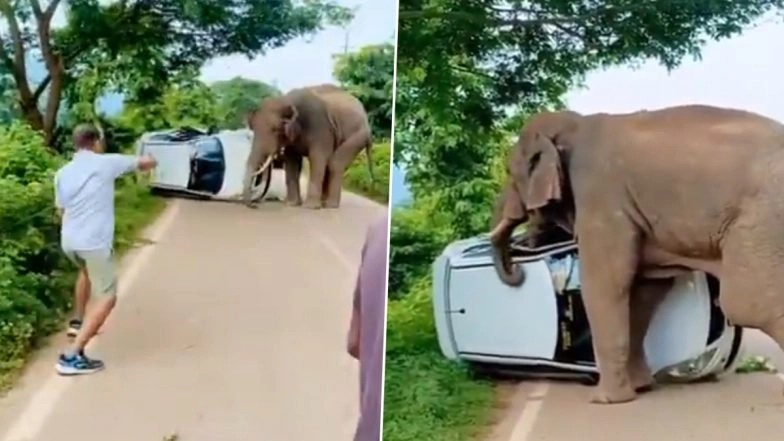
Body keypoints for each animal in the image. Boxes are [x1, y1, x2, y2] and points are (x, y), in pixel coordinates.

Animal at [243, 84, 374, 209]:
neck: (287, 100)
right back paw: (323, 203)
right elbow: (292, 161)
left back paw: (330, 205)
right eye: (253, 128)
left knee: (334, 163)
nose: (254, 205)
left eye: (275, 130)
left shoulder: (320, 127)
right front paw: (292, 204)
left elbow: (318, 157)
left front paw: (310, 207)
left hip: (357, 136)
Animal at [489, 105, 784, 404]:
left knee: (748, 304)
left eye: (508, 171)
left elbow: (606, 284)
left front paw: (604, 400)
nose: (518, 270)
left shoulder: (600, 198)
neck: (575, 124)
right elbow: (644, 289)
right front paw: (641, 387)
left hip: (761, 221)